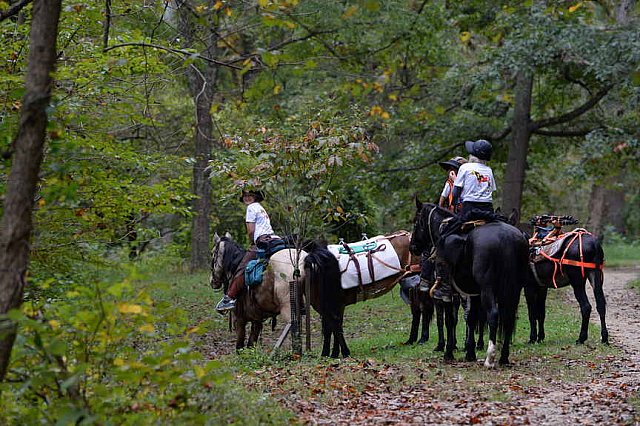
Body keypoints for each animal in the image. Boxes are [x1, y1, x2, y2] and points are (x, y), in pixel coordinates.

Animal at [410, 201, 528, 368]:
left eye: (416, 221)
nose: (412, 247)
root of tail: (506, 237)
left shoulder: (449, 293)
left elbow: (449, 320)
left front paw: (449, 352)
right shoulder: (474, 293)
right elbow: (471, 318)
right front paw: (470, 352)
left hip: (488, 288)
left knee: (493, 314)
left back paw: (490, 358)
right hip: (514, 289)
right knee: (508, 317)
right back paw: (504, 357)